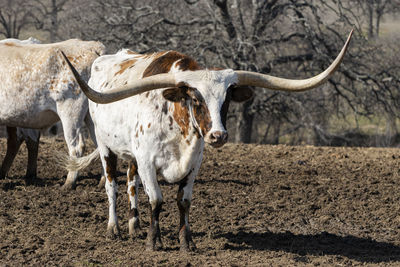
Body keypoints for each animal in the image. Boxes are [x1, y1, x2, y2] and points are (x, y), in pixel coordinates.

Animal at [0, 38, 104, 188]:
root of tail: (91, 45)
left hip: (70, 112)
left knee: (76, 148)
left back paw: (69, 183)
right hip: (91, 116)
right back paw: (102, 181)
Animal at [61, 30, 352, 251]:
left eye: (227, 99)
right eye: (195, 98)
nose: (218, 135)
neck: (178, 128)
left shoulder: (193, 164)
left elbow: (183, 201)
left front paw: (186, 242)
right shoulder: (147, 161)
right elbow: (156, 200)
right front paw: (154, 242)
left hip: (132, 155)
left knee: (131, 183)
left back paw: (134, 224)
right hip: (105, 146)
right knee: (112, 186)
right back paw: (114, 228)